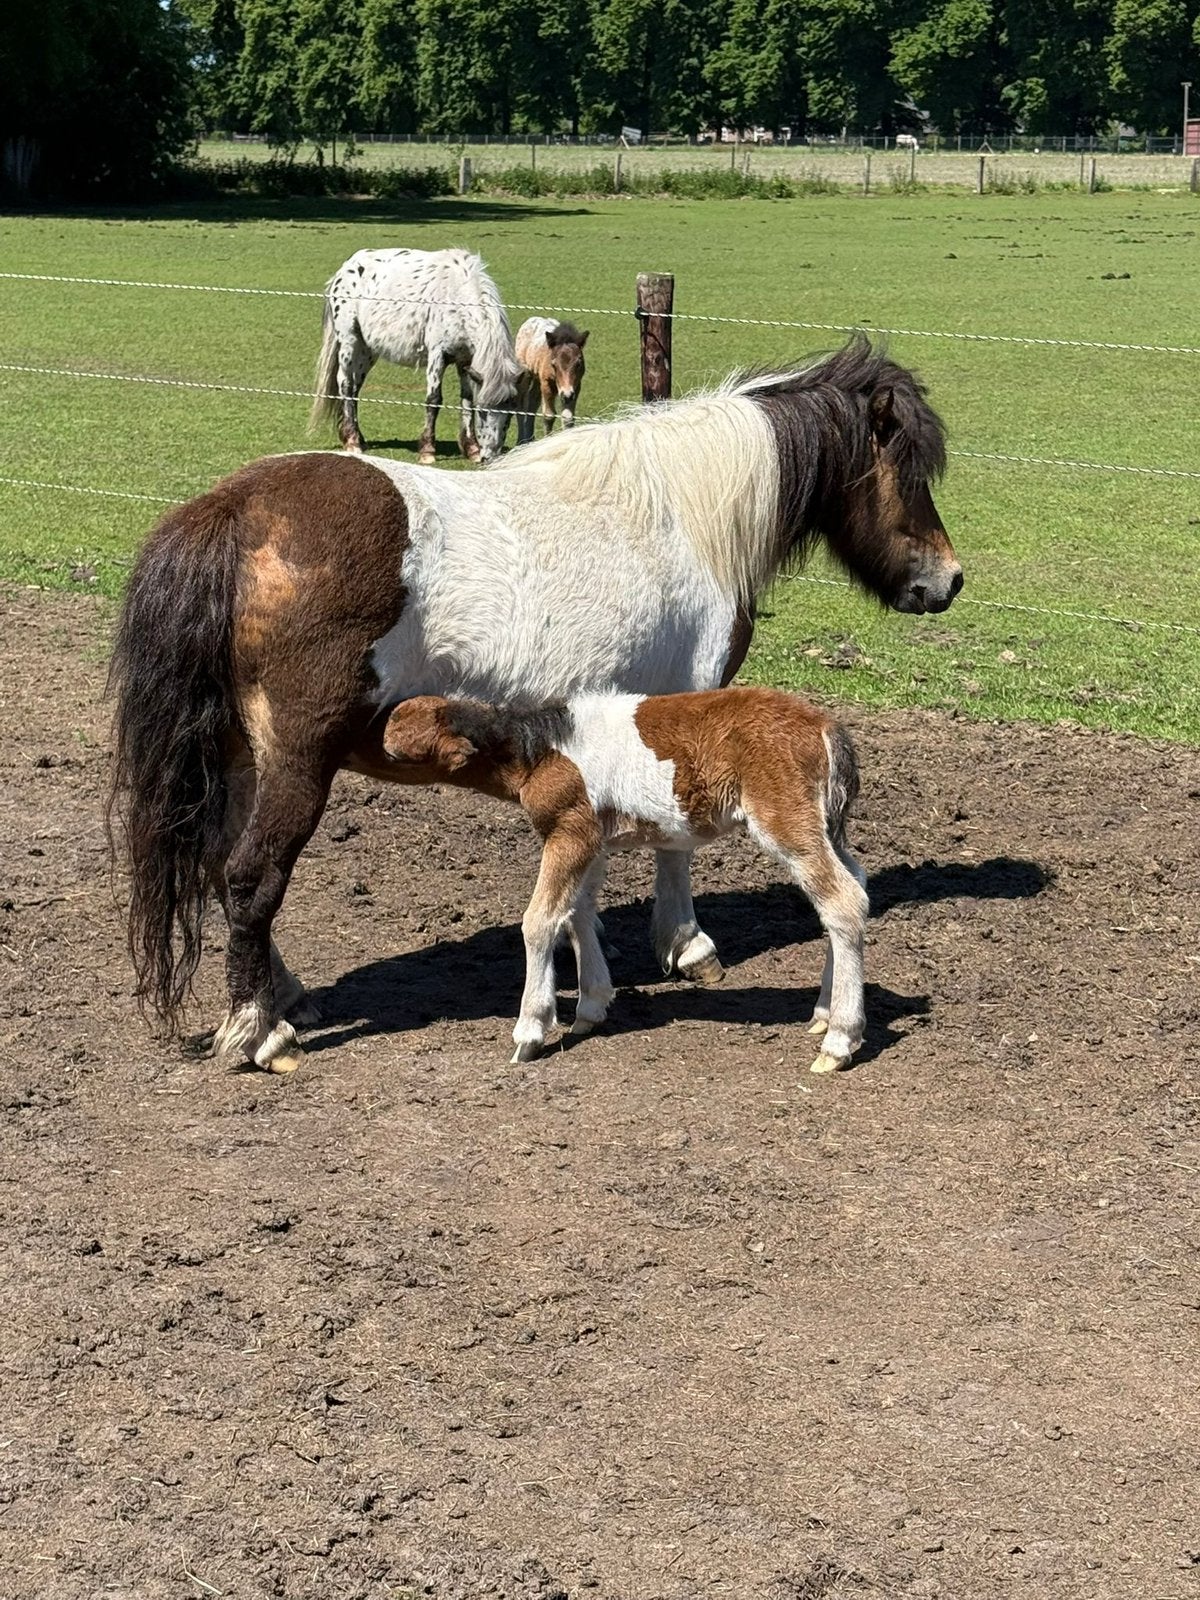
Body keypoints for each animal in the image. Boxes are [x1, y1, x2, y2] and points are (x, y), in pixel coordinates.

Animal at [309, 247, 522, 464]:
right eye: (483, 412)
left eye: (510, 414)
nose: (491, 456)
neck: (456, 295)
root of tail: (346, 267)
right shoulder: (438, 356)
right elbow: (433, 400)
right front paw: (427, 451)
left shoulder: (465, 360)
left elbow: (466, 400)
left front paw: (472, 449)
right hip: (349, 341)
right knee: (345, 384)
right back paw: (352, 442)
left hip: (366, 352)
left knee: (354, 390)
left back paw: (358, 438)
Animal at [383, 688, 867, 1074]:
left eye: (401, 740)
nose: (382, 738)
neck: (542, 749)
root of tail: (828, 728)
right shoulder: (592, 840)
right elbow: (577, 911)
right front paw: (592, 1005)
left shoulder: (570, 829)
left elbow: (540, 920)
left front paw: (530, 1031)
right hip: (826, 824)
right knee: (857, 886)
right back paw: (823, 1013)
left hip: (784, 819)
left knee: (842, 901)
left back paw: (839, 1040)